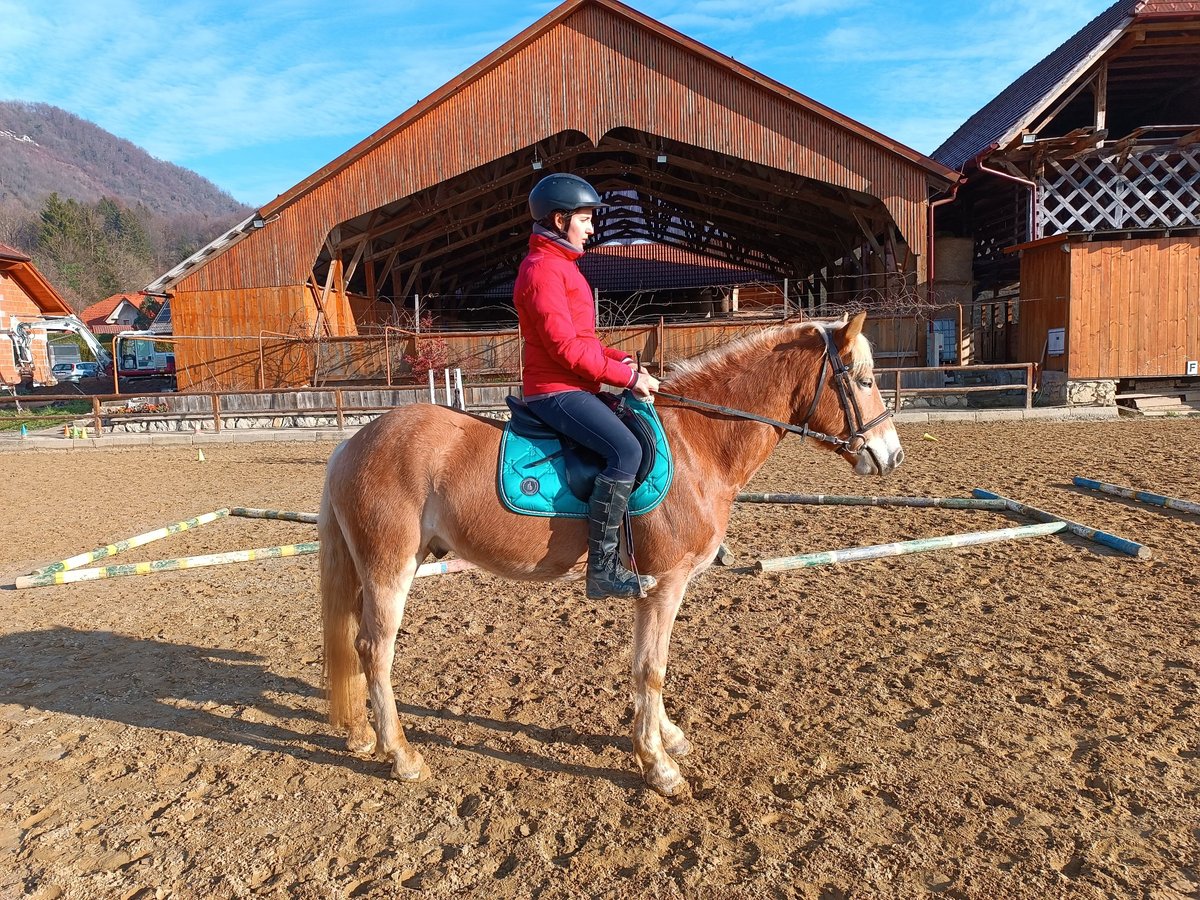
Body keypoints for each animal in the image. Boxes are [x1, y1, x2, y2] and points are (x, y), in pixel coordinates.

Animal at [319, 309, 902, 796]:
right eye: (864, 379)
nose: (891, 456)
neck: (697, 444)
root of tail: (354, 443)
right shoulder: (664, 584)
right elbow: (651, 668)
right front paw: (659, 767)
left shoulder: (660, 588)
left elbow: (651, 664)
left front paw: (667, 737)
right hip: (389, 568)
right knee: (375, 650)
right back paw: (403, 757)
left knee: (356, 646)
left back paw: (364, 737)